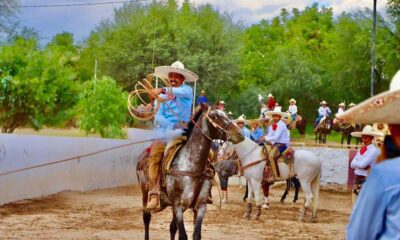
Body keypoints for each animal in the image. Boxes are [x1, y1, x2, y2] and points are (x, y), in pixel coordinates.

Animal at [137, 106, 244, 240]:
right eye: (214, 116)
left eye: (228, 115)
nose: (239, 133)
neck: (192, 167)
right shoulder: (178, 205)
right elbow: (183, 235)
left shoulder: (200, 206)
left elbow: (195, 234)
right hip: (145, 194)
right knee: (146, 218)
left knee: (172, 227)